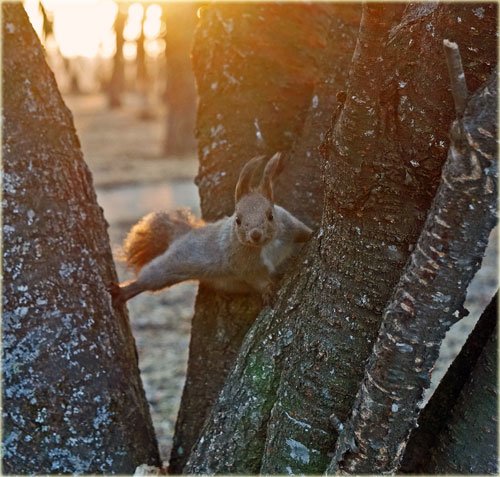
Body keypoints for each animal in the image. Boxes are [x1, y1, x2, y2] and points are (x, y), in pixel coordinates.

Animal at [109, 152, 312, 304]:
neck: (266, 245)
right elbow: (258, 279)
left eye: (270, 215)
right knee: (149, 278)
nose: (255, 235)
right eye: (238, 220)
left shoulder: (290, 225)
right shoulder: (244, 265)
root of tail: (185, 234)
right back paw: (125, 291)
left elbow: (303, 232)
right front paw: (268, 290)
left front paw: (312, 234)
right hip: (171, 265)